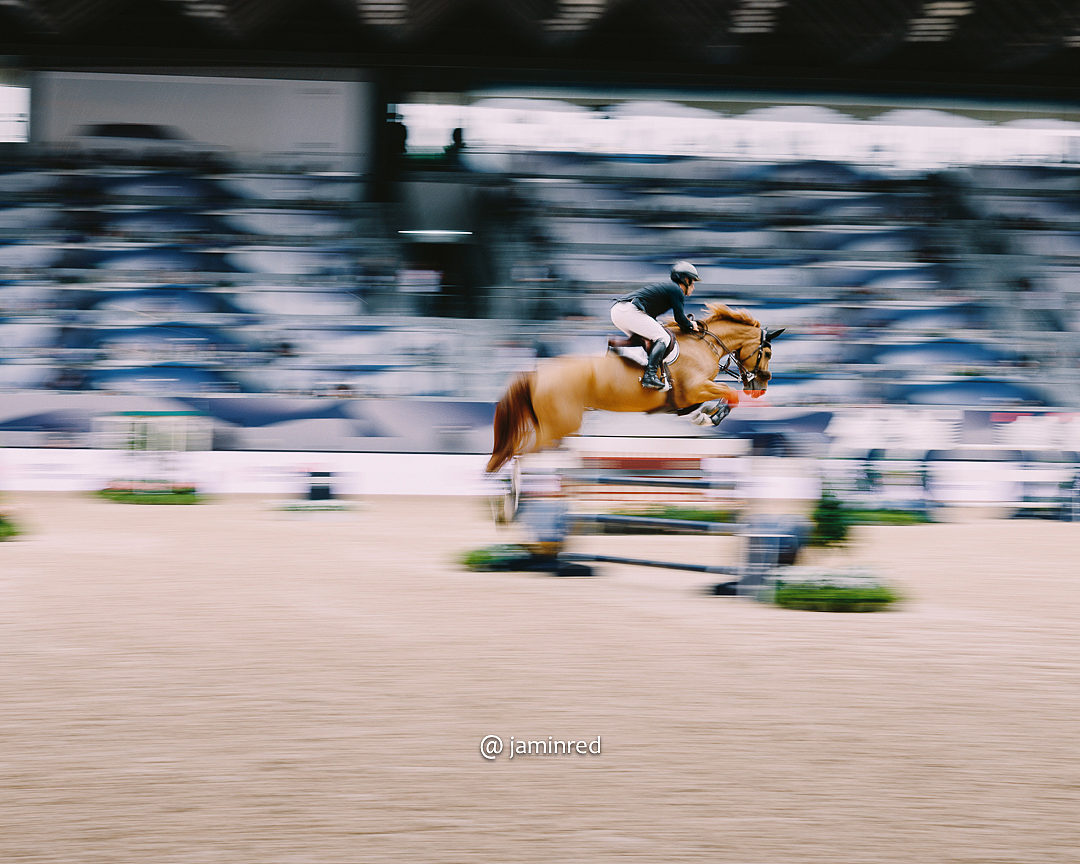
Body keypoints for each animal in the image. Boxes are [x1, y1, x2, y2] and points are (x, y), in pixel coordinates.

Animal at [486, 303, 784, 474]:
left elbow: (706, 403)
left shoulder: (688, 396)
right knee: (519, 453)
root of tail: (536, 373)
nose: (760, 387)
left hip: (553, 426)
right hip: (559, 426)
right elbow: (729, 394)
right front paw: (713, 417)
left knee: (520, 450)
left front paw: (702, 416)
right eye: (767, 352)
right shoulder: (695, 388)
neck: (705, 344)